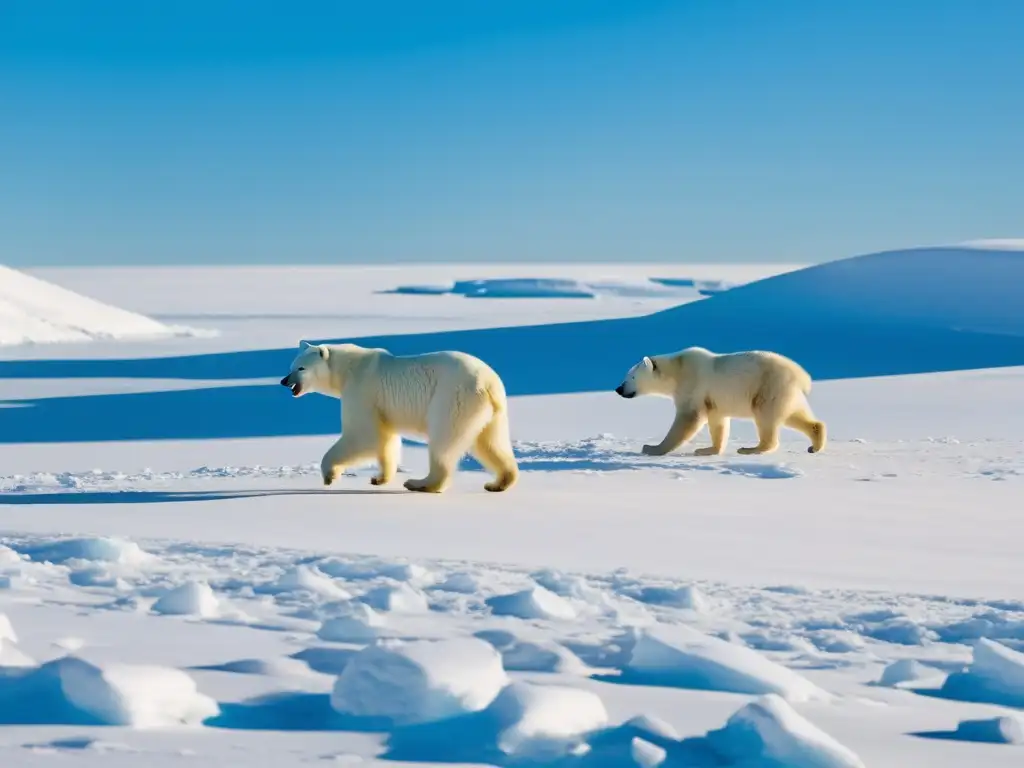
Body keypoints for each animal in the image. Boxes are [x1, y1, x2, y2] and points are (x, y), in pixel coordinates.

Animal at [280, 342, 520, 495]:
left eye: (301, 367)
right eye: (291, 366)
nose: (284, 380)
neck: (347, 369)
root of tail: (488, 384)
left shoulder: (361, 390)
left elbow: (362, 434)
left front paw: (329, 475)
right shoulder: (380, 406)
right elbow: (384, 439)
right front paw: (379, 478)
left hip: (452, 398)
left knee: (444, 442)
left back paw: (420, 483)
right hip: (493, 412)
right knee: (490, 441)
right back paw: (499, 482)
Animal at [614, 348, 823, 456]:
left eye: (630, 377)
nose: (618, 389)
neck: (677, 370)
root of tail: (802, 376)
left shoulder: (692, 385)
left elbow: (688, 419)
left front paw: (651, 448)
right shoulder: (713, 401)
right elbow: (717, 422)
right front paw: (707, 450)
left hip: (769, 387)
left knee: (766, 417)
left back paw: (750, 449)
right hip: (786, 394)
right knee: (795, 416)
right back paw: (814, 444)